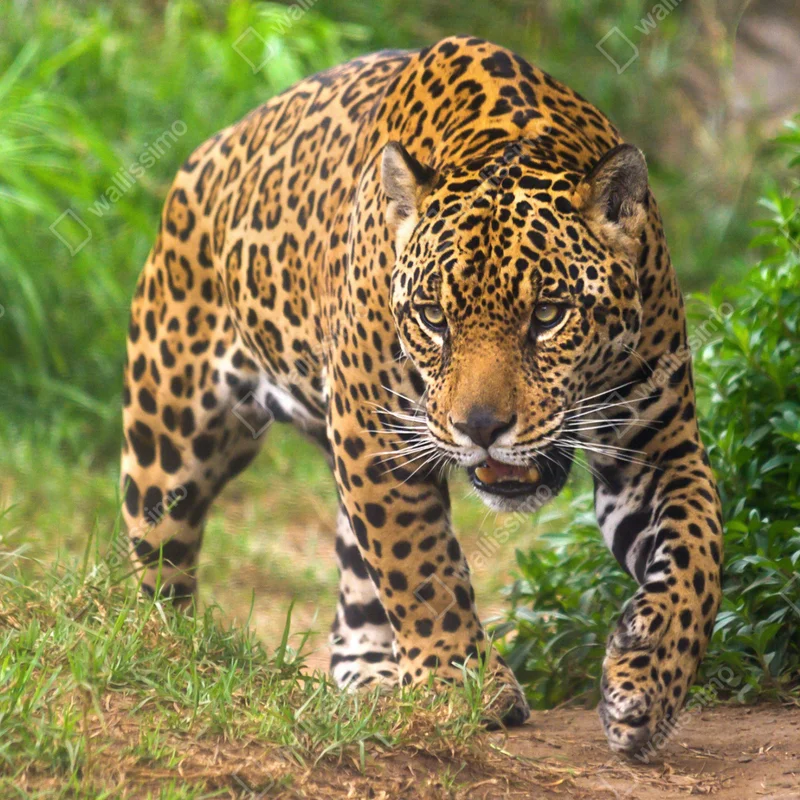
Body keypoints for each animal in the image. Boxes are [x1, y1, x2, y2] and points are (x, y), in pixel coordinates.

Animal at [120, 35, 723, 754]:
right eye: (434, 318)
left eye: (549, 315)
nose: (482, 427)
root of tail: (208, 152)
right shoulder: (374, 432)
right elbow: (419, 564)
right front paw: (463, 685)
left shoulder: (657, 446)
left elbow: (698, 553)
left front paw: (648, 677)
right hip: (171, 437)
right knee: (159, 561)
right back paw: (164, 654)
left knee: (356, 590)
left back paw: (375, 681)